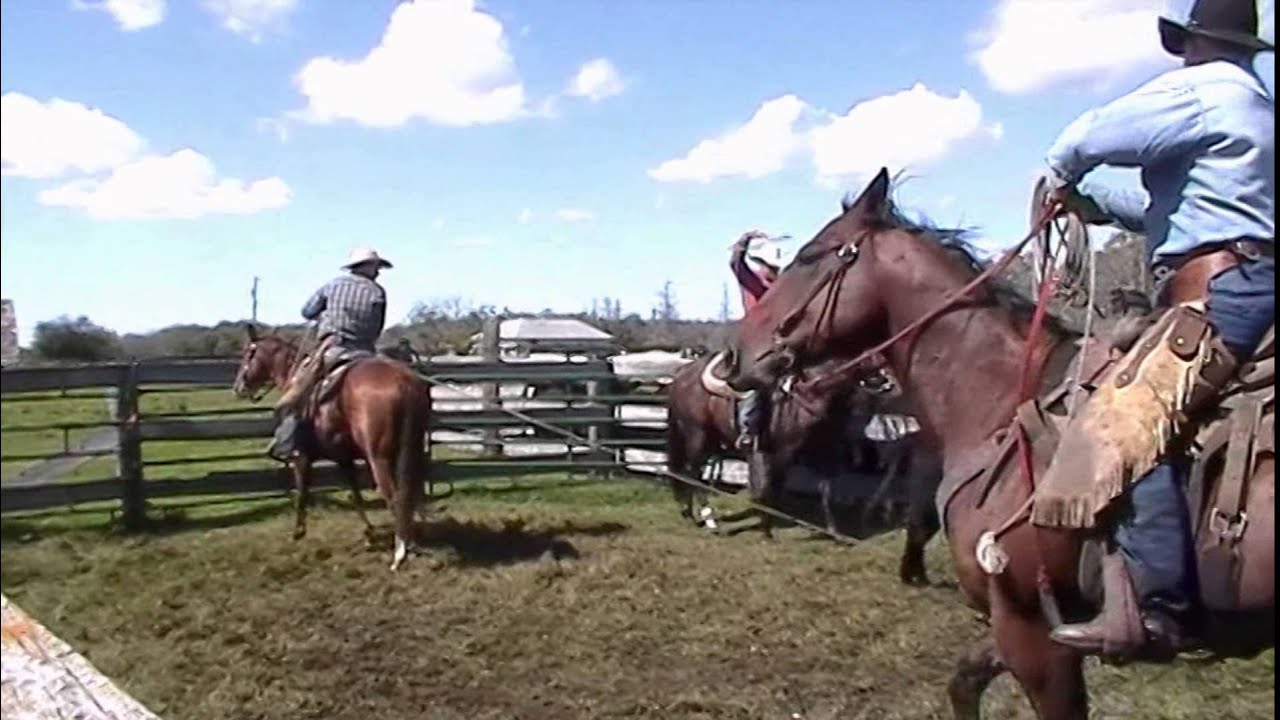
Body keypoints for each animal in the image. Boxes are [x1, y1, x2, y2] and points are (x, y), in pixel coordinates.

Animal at [232, 325, 432, 571]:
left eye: (247, 354)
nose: (238, 387)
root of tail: (404, 382)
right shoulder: (343, 458)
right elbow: (355, 494)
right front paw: (368, 533)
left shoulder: (302, 456)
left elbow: (302, 491)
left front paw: (298, 532)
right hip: (413, 452)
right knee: (414, 494)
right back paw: (414, 541)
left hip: (380, 459)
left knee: (395, 497)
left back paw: (400, 554)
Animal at [670, 352, 942, 585]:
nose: (895, 384)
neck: (809, 396)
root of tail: (682, 376)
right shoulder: (776, 453)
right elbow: (768, 489)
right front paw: (766, 531)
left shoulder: (822, 454)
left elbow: (825, 491)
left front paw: (833, 531)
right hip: (698, 435)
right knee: (693, 474)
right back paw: (710, 522)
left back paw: (689, 513)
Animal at [722, 169, 1273, 718]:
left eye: (812, 255)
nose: (734, 356)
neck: (1003, 403)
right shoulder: (1015, 624)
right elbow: (964, 683)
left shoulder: (1034, 631)